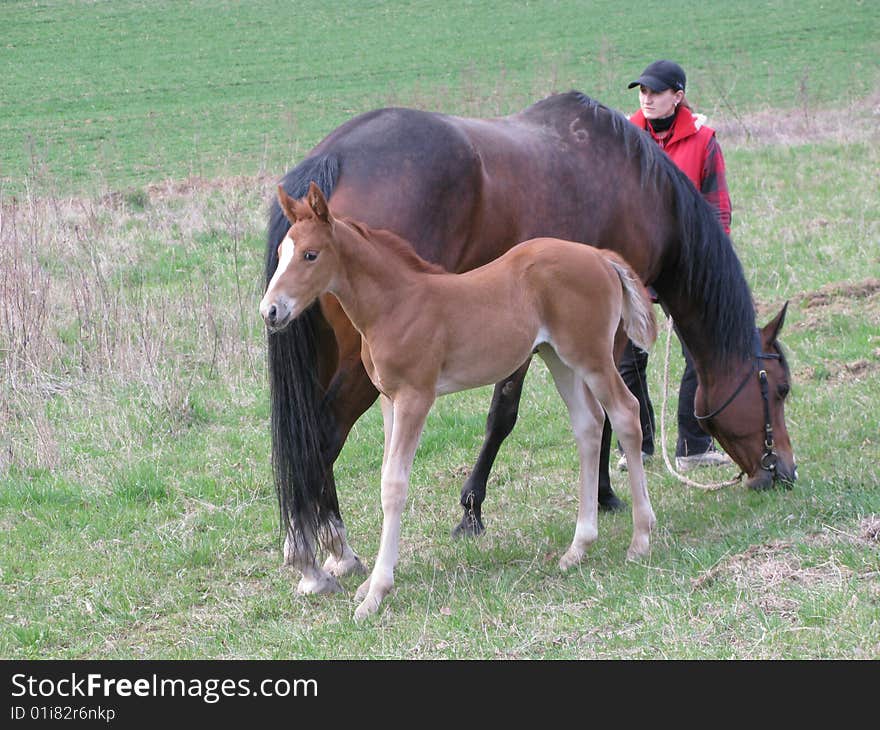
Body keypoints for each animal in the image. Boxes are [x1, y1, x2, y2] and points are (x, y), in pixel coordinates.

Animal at [262, 183, 660, 620]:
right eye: (281, 252)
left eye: (310, 255)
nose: (271, 311)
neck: (395, 304)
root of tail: (600, 257)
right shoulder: (389, 400)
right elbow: (386, 475)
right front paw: (369, 584)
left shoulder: (416, 397)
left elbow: (394, 484)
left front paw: (376, 594)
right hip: (559, 357)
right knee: (588, 425)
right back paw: (578, 547)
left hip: (591, 356)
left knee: (625, 413)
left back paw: (641, 540)